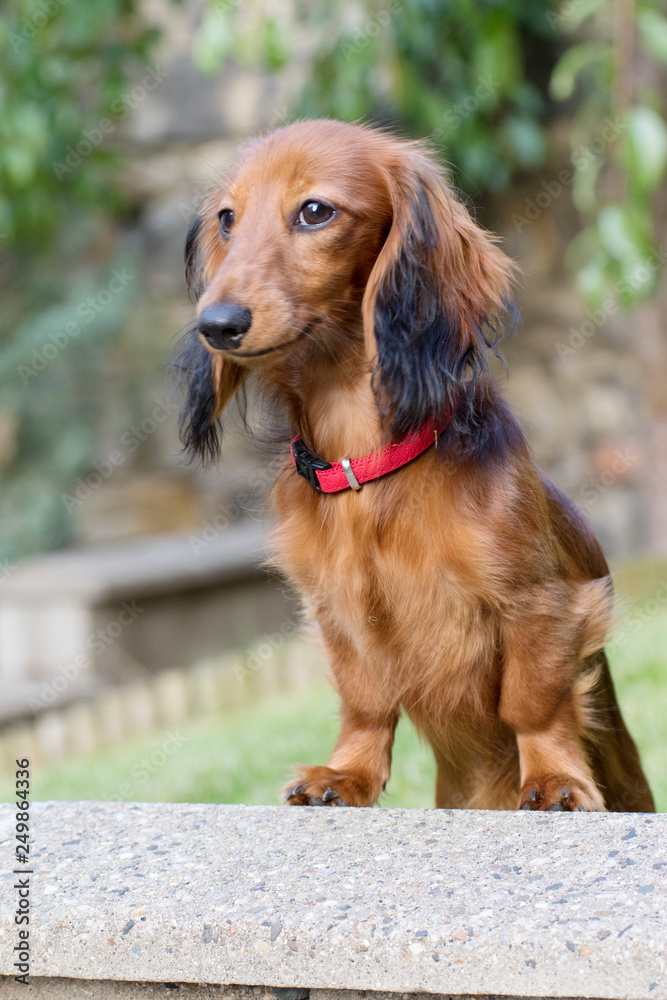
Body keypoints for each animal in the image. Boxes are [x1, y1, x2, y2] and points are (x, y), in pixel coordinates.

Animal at [175, 119, 656, 812]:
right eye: (227, 219)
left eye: (315, 211)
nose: (215, 324)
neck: (368, 465)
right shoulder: (337, 612)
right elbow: (365, 703)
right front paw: (345, 774)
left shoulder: (539, 602)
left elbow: (533, 701)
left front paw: (553, 778)